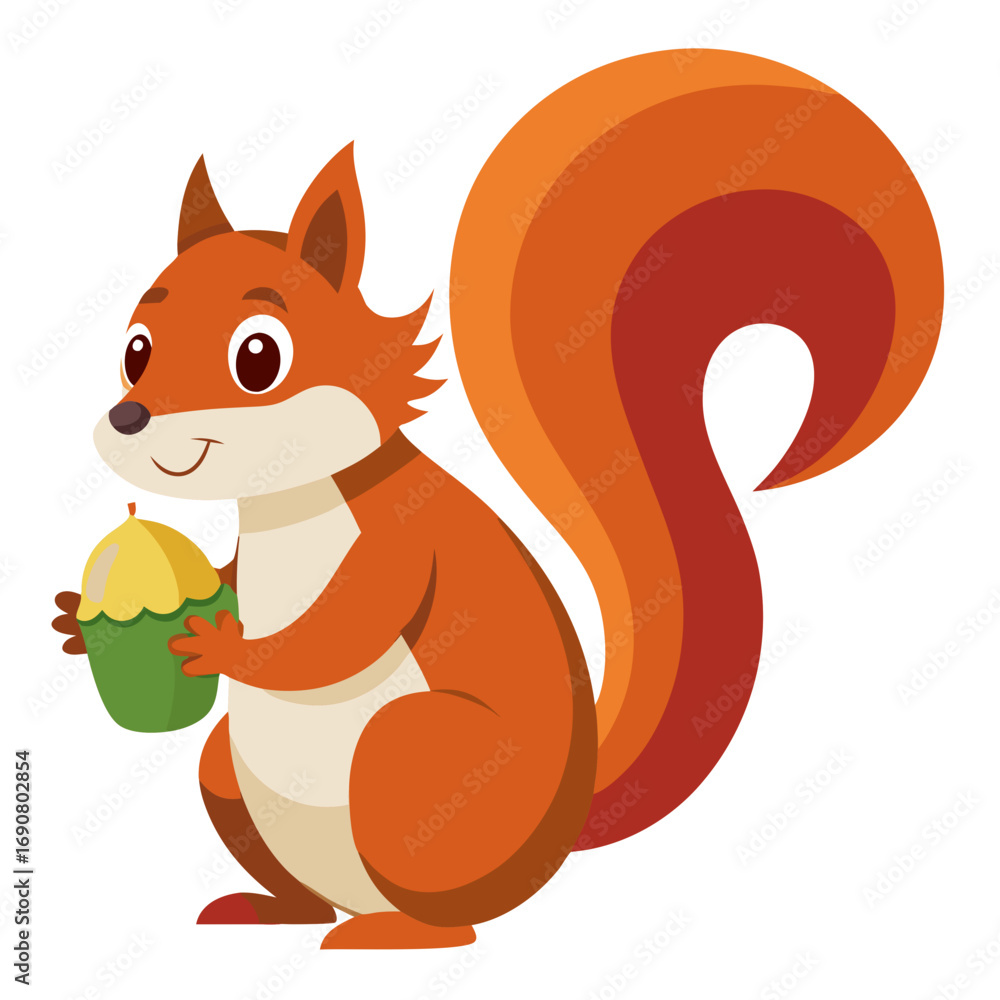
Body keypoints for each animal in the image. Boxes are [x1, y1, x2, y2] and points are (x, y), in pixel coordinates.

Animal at [52, 49, 942, 949]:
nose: (130, 419)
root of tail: (555, 835)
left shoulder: (401, 539)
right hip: (228, 774)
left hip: (411, 758)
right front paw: (74, 624)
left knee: (451, 916)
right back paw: (273, 911)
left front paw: (222, 646)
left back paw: (390, 933)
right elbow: (233, 580)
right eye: (135, 349)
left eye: (258, 358)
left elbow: (341, 632)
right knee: (292, 862)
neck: (289, 502)